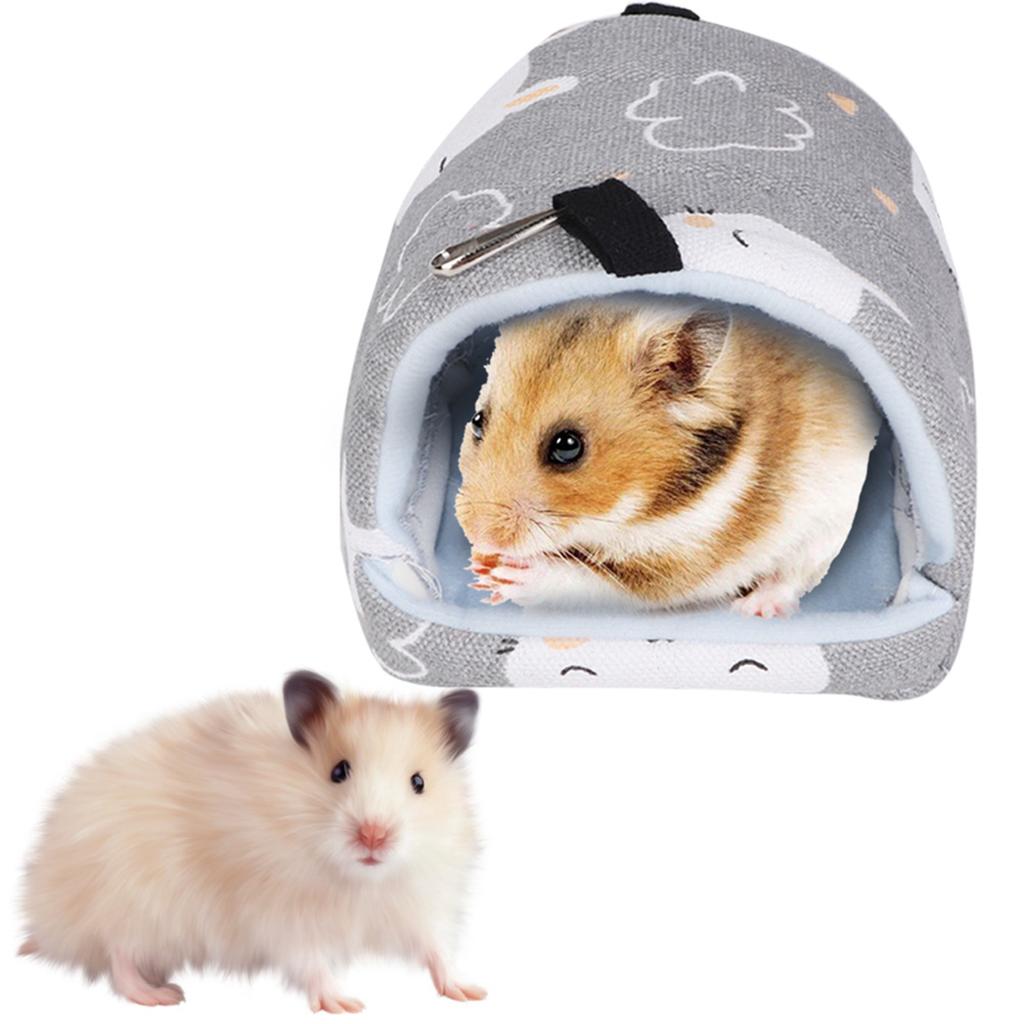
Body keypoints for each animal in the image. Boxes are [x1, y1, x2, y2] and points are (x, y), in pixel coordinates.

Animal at [18, 672, 485, 1011]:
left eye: (419, 783)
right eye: (338, 771)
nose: (374, 835)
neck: (358, 880)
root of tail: (46, 918)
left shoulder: (420, 903)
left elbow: (437, 949)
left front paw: (469, 992)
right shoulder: (282, 916)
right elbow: (311, 961)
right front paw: (345, 1004)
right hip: (132, 901)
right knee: (117, 955)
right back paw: (162, 995)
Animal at [455, 298, 880, 618]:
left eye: (567, 446)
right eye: (477, 420)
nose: (480, 535)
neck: (643, 509)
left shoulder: (680, 560)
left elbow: (593, 581)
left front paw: (507, 575)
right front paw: (479, 568)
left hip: (826, 529)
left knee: (792, 578)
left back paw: (754, 609)